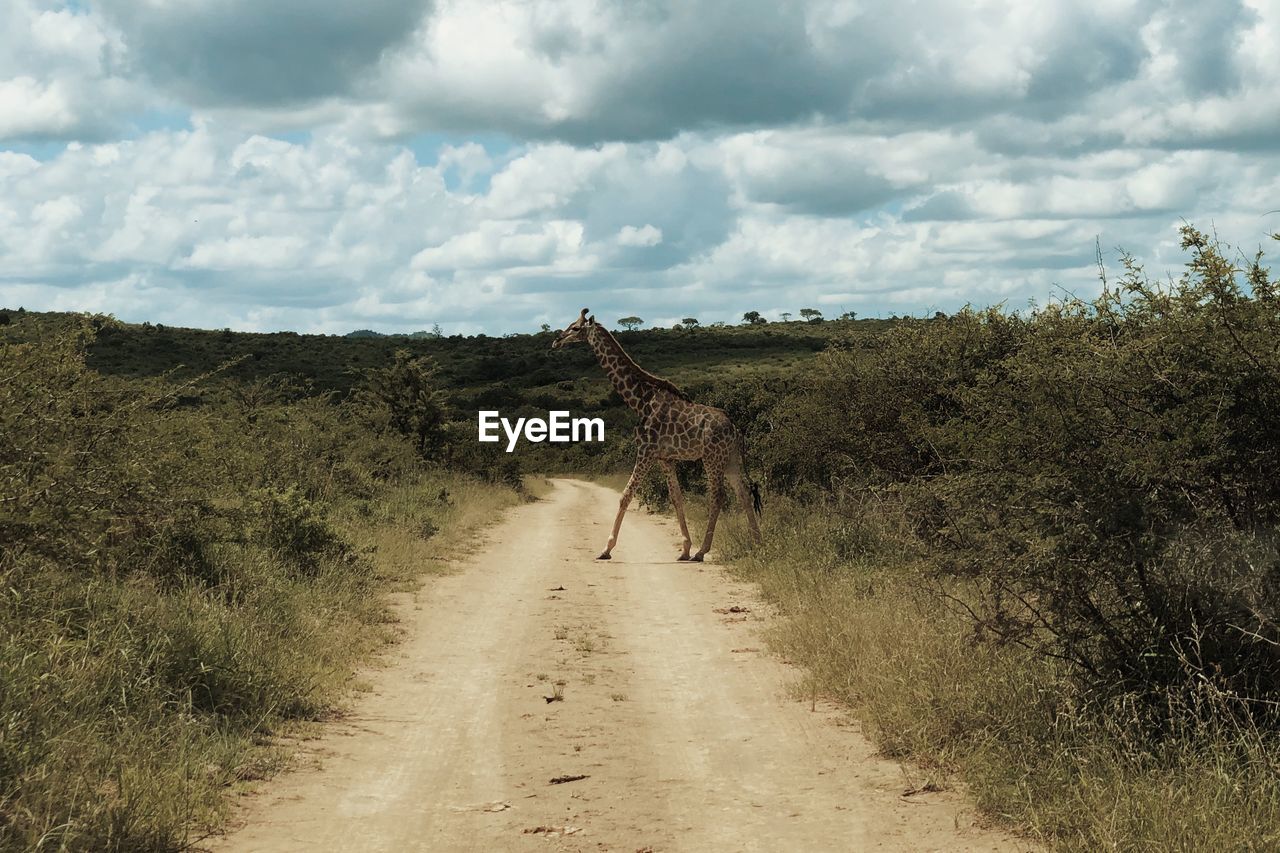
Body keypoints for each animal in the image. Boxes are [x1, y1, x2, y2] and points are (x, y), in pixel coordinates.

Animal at [550, 306, 757, 558]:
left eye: (576, 328)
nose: (556, 341)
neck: (640, 400)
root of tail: (735, 429)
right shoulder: (665, 458)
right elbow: (676, 498)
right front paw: (684, 549)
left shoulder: (646, 451)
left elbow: (625, 496)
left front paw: (606, 548)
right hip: (731, 459)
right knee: (744, 494)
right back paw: (758, 543)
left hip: (712, 458)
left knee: (718, 497)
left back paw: (703, 551)